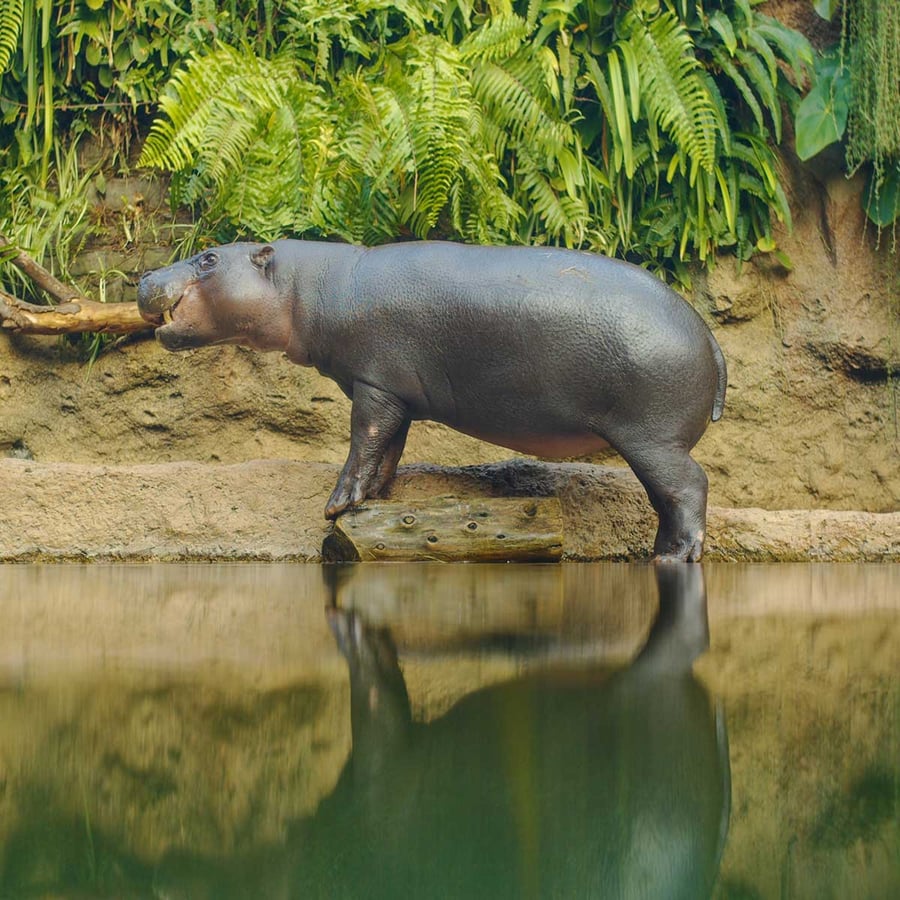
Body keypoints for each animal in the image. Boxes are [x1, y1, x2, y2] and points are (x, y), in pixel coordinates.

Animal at [138, 240, 726, 560]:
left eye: (209, 257)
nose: (144, 276)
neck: (306, 286)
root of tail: (710, 334)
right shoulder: (390, 391)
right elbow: (386, 450)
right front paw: (372, 503)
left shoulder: (373, 384)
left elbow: (362, 442)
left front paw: (335, 506)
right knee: (672, 496)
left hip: (651, 438)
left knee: (688, 487)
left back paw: (672, 557)